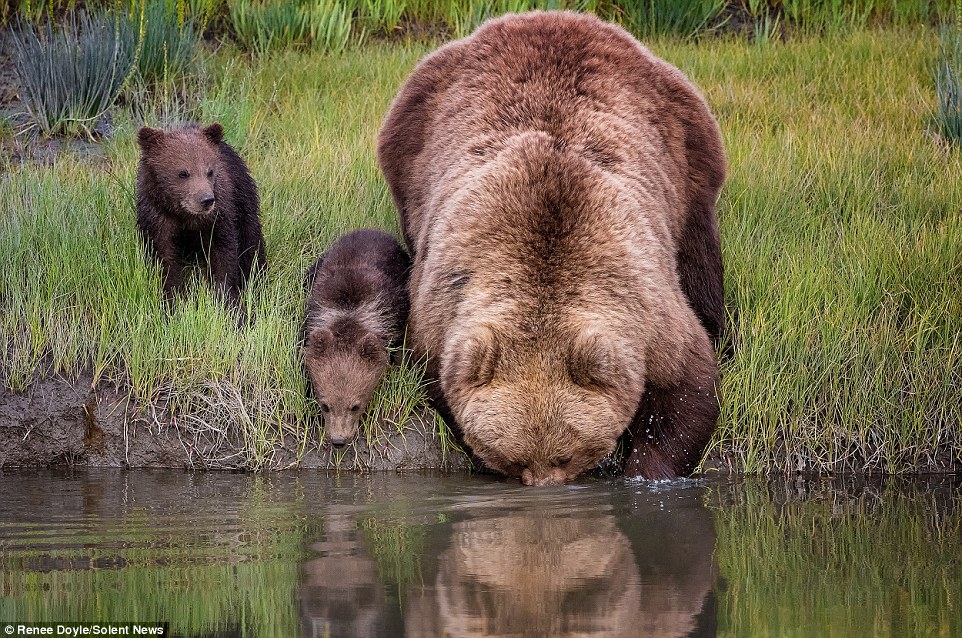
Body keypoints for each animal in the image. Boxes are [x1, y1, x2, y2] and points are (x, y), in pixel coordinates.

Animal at [378, 10, 724, 488]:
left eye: (567, 454)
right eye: (515, 459)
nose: (543, 488)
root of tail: (550, 15)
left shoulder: (647, 309)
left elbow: (687, 387)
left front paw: (647, 471)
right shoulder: (442, 309)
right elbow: (438, 380)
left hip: (686, 148)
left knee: (699, 259)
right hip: (412, 143)